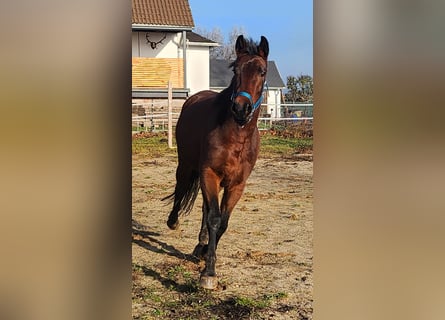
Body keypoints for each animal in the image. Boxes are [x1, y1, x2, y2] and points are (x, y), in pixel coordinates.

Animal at [162, 35, 268, 290]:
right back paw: (173, 222)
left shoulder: (236, 184)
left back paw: (200, 244)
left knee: (204, 207)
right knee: (181, 191)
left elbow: (223, 222)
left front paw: (204, 254)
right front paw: (209, 273)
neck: (236, 137)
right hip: (188, 166)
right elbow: (214, 218)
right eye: (235, 69)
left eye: (262, 71)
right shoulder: (209, 173)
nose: (241, 108)